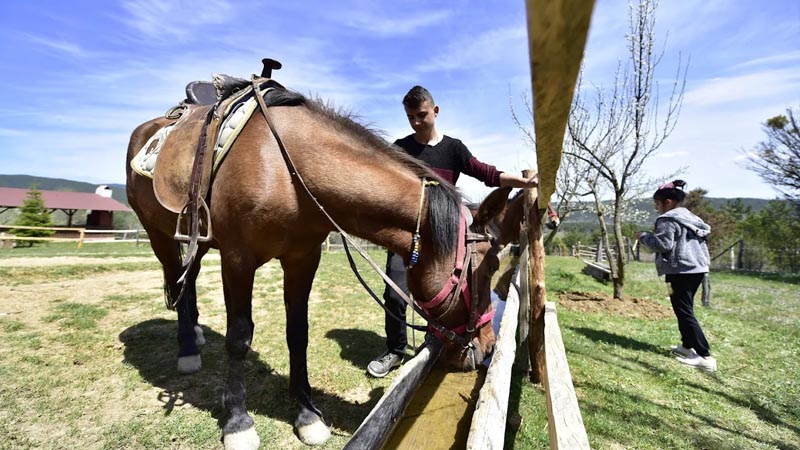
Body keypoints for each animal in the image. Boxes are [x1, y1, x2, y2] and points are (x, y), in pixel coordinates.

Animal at [125, 85, 515, 449]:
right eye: (485, 269)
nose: (487, 345)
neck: (285, 169)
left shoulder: (303, 258)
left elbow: (299, 333)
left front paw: (307, 414)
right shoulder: (237, 259)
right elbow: (238, 336)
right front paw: (237, 422)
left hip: (200, 237)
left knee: (187, 281)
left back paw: (196, 334)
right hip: (159, 236)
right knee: (176, 281)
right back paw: (187, 349)